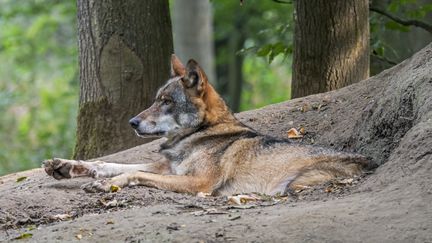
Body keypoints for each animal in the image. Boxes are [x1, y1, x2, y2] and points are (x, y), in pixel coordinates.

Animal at [44, 55, 374, 196]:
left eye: (167, 101)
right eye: (155, 99)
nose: (132, 122)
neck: (202, 133)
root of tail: (370, 161)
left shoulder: (198, 182)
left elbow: (135, 173)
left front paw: (106, 184)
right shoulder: (168, 168)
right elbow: (108, 164)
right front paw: (66, 167)